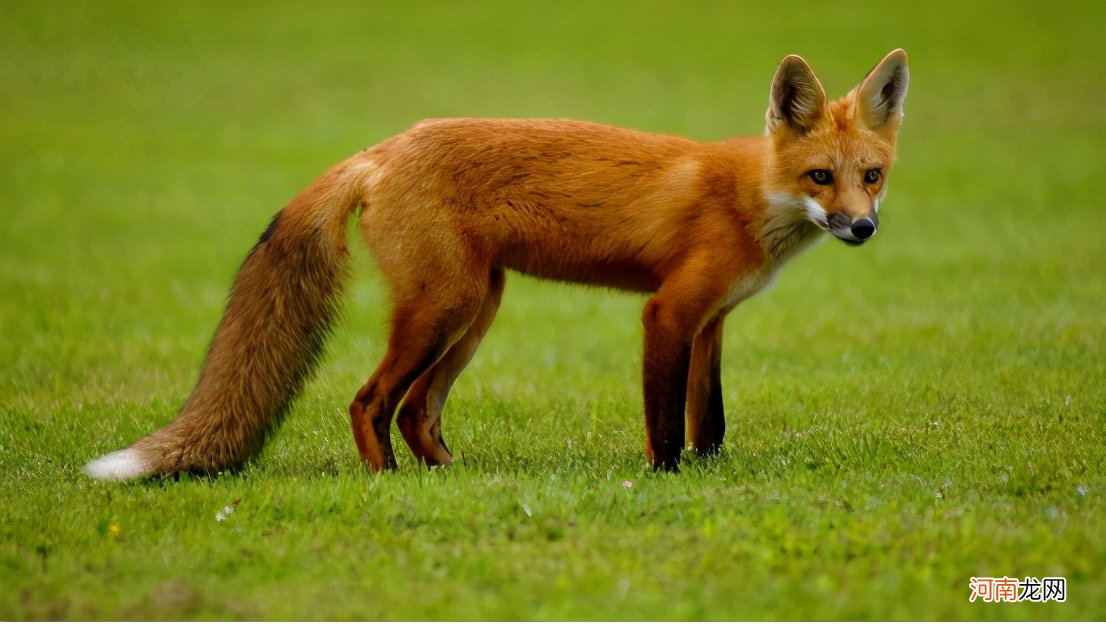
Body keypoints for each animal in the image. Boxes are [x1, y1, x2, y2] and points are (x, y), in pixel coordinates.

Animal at [77, 48, 906, 480]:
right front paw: (666, 481)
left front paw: (709, 473)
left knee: (416, 410)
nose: (863, 228)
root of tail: (380, 149)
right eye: (820, 178)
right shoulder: (667, 313)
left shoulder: (712, 322)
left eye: (871, 176)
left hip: (477, 311)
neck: (752, 198)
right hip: (443, 306)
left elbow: (712, 416)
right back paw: (388, 483)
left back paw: (449, 478)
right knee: (369, 402)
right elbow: (666, 422)